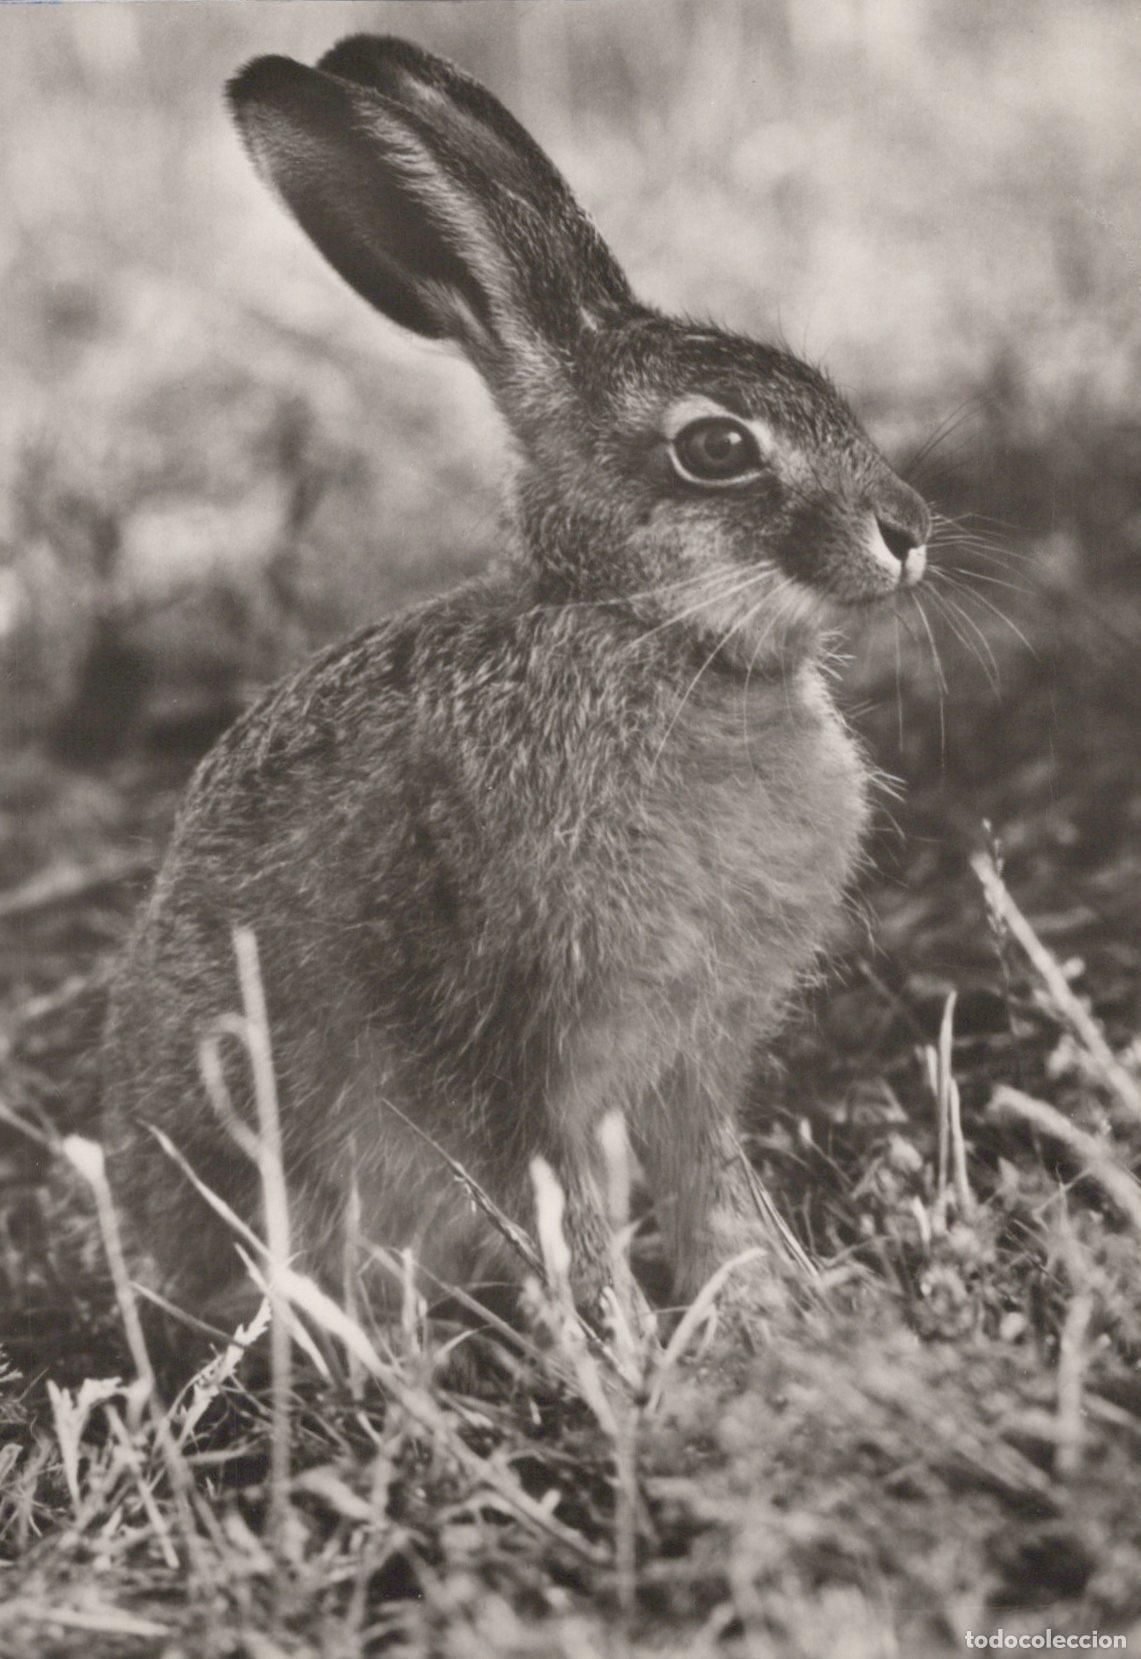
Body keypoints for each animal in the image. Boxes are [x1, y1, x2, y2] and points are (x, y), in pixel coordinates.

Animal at [99, 34, 930, 1355]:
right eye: (717, 449)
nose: (907, 533)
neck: (645, 637)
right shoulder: (509, 1042)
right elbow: (561, 1205)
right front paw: (629, 1351)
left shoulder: (694, 1056)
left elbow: (710, 1184)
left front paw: (775, 1309)